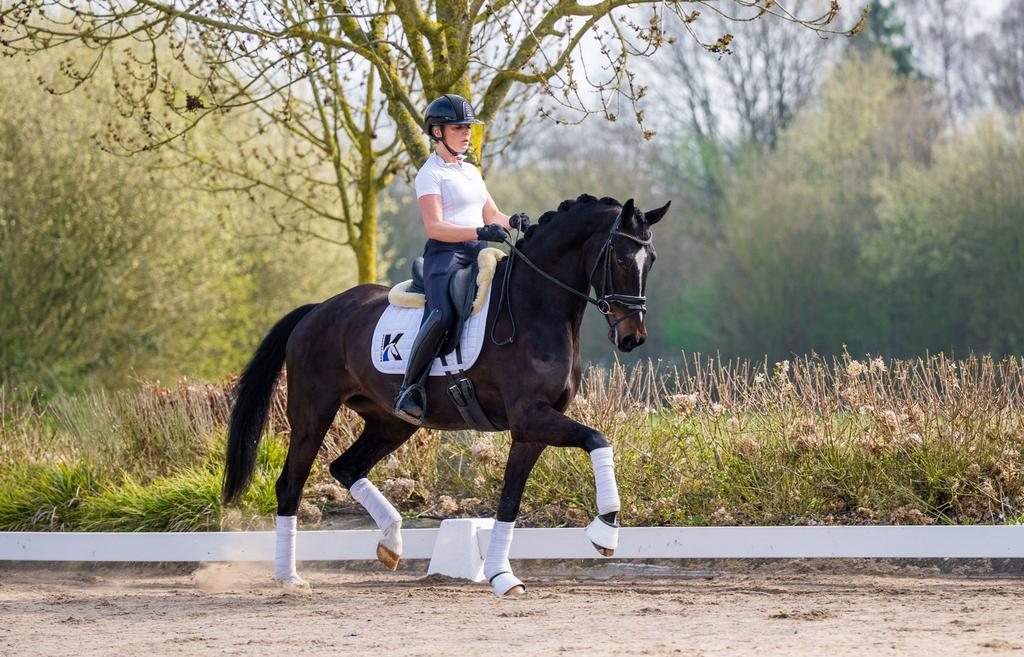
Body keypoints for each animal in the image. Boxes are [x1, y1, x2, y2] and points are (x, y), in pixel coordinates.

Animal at [221, 194, 670, 596]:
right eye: (619, 259)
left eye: (650, 260)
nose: (632, 337)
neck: (535, 307)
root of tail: (317, 310)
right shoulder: (530, 417)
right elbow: (598, 439)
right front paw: (605, 531)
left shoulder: (531, 431)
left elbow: (510, 501)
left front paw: (501, 576)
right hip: (313, 414)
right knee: (290, 486)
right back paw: (289, 578)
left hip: (391, 423)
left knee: (346, 468)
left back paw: (391, 542)